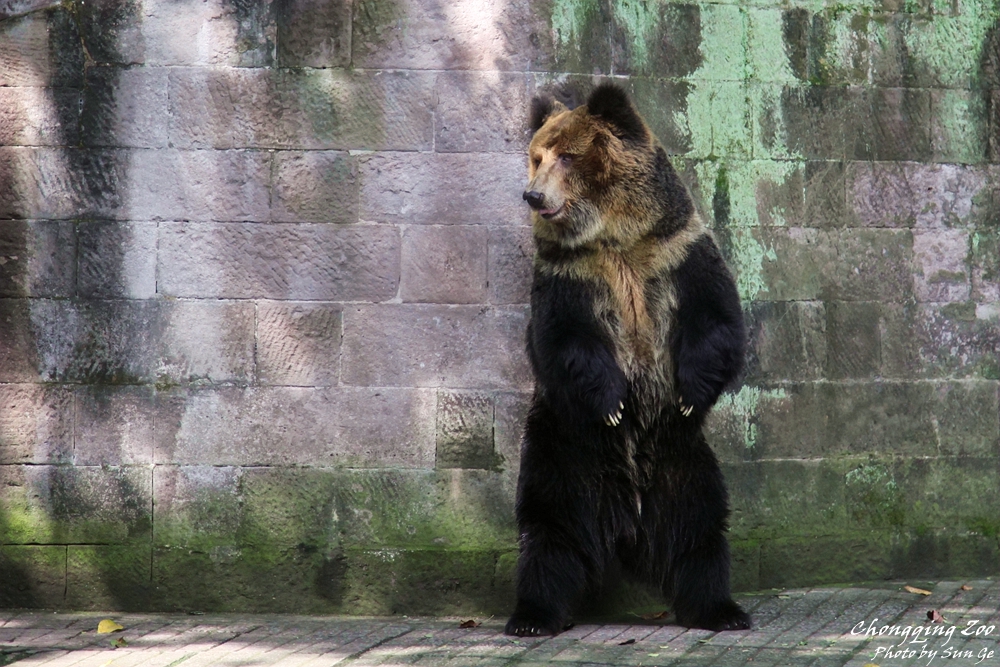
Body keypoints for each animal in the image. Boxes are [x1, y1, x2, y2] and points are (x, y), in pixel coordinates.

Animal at [504, 83, 750, 637]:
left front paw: (691, 392)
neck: (612, 233)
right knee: (551, 532)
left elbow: (717, 320)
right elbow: (564, 341)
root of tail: (628, 519)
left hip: (684, 461)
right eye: (536, 157)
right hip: (564, 449)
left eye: (567, 155)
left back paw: (720, 609)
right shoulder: (569, 274)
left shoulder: (677, 251)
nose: (533, 195)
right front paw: (615, 403)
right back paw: (533, 614)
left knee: (700, 531)